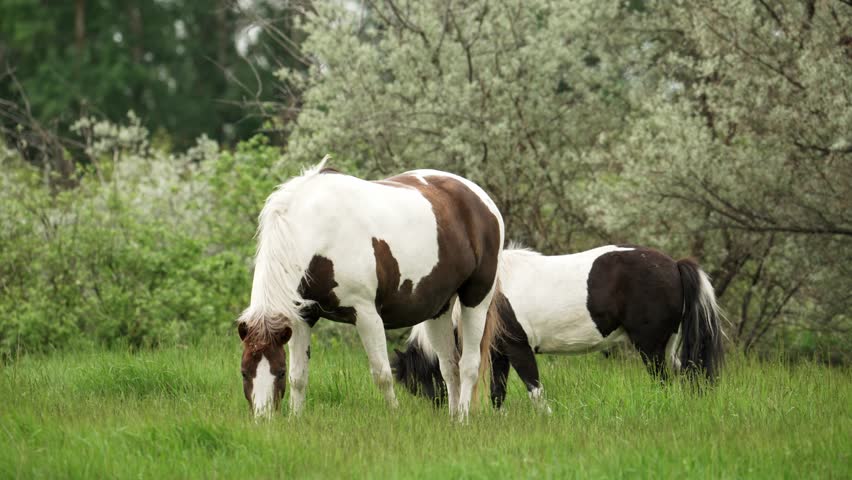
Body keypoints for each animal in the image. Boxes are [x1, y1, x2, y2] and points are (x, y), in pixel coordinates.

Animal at [236, 157, 505, 419]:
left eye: (278, 371)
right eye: (244, 372)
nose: (263, 418)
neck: (319, 231)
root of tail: (480, 198)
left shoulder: (366, 315)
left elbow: (382, 374)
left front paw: (394, 416)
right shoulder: (302, 317)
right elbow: (299, 377)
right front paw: (296, 419)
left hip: (476, 301)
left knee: (468, 365)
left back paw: (464, 418)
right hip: (439, 310)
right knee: (449, 366)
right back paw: (453, 419)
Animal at [392, 244, 725, 411]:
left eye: (415, 381)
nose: (439, 408)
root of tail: (675, 265)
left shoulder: (518, 347)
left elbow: (534, 387)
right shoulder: (499, 353)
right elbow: (498, 393)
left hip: (651, 346)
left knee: (664, 381)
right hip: (666, 345)